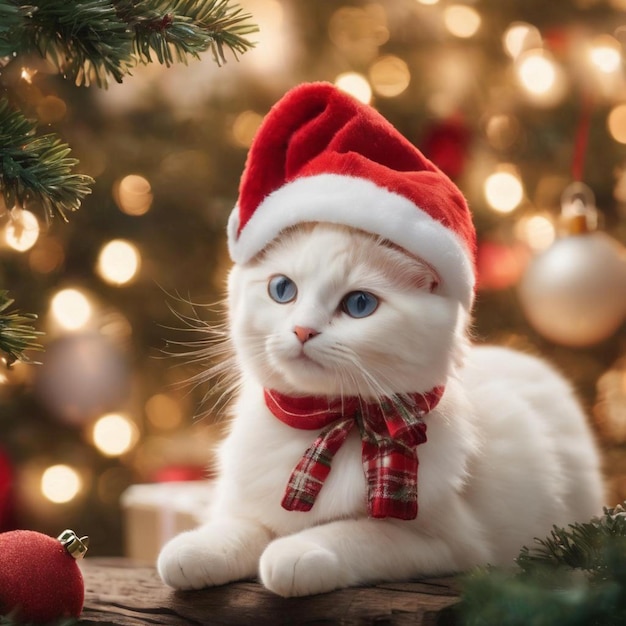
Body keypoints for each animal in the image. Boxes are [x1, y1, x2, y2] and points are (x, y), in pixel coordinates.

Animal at [157, 221, 604, 596]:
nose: (302, 330)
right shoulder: (242, 503)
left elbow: (347, 535)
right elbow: (234, 528)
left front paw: (293, 554)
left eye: (359, 304)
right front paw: (194, 550)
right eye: (282, 290)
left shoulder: (443, 543)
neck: (323, 427)